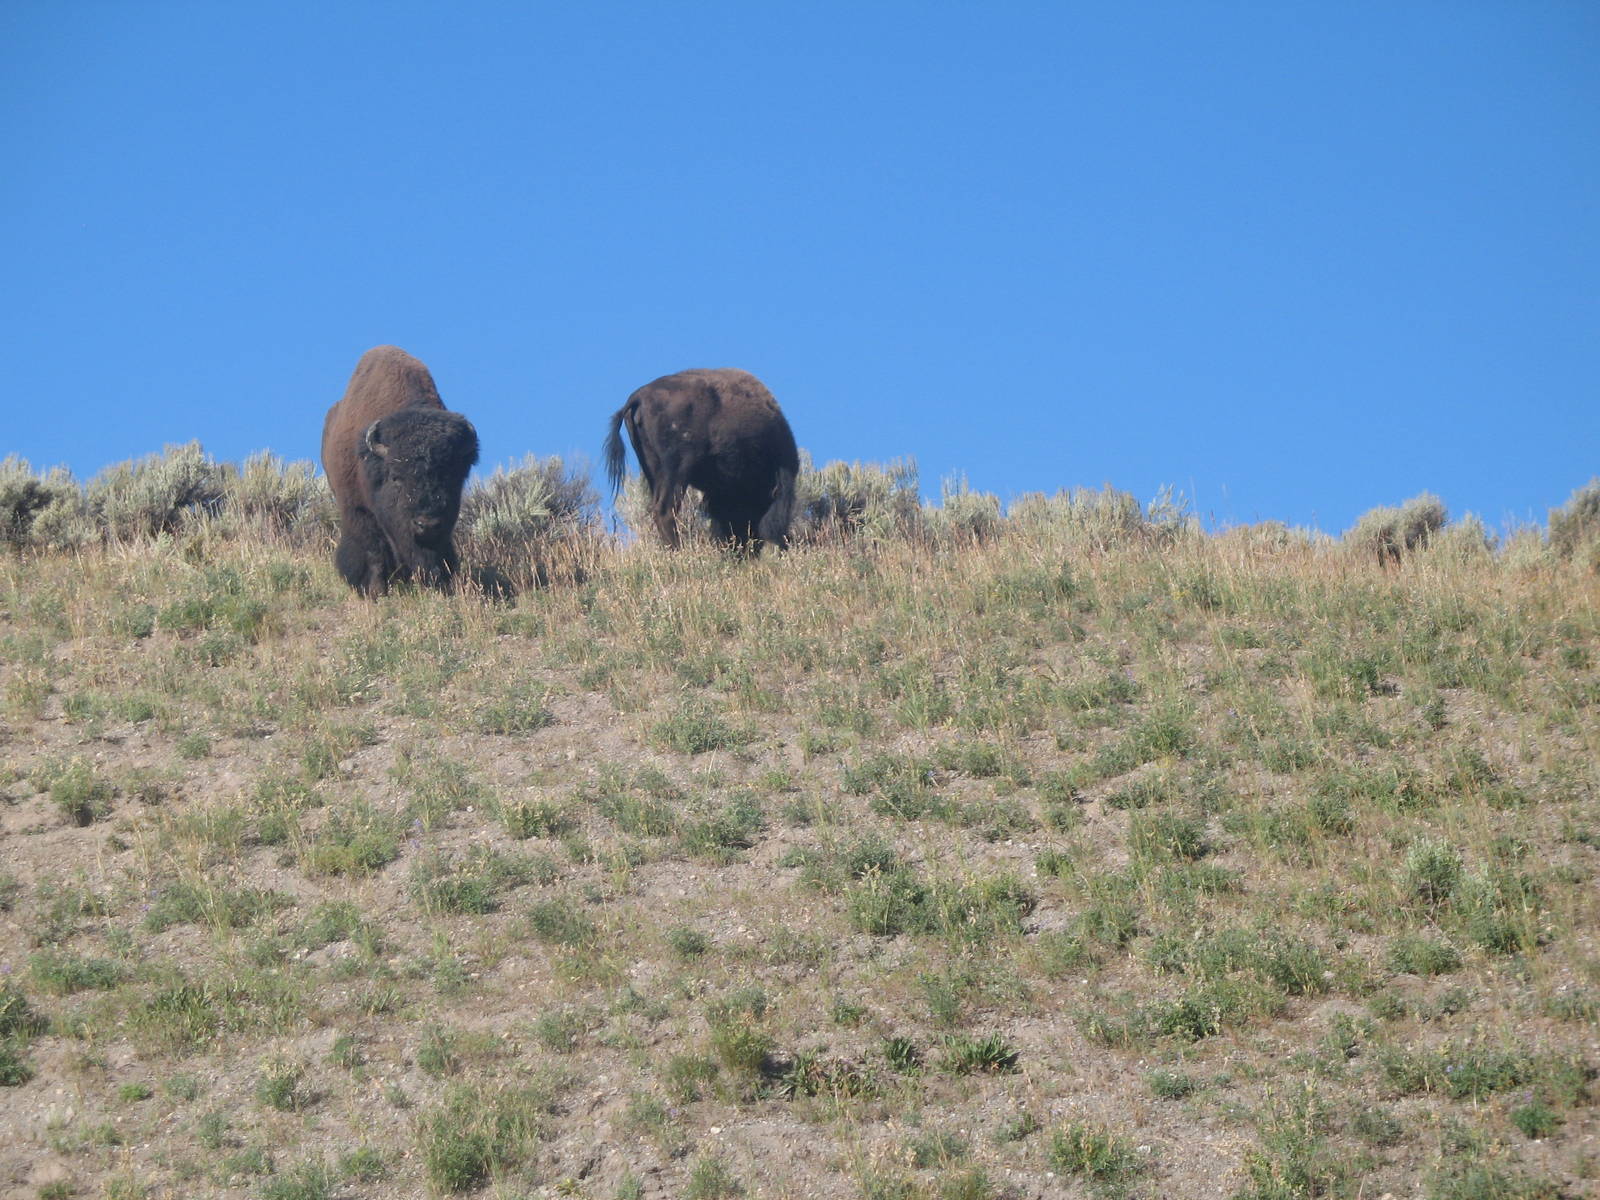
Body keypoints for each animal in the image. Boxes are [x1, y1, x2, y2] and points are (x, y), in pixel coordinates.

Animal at [321, 345, 479, 597]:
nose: (427, 524)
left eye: (452, 478)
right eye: (396, 478)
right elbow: (374, 552)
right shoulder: (359, 511)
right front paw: (376, 592)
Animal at [604, 368, 799, 554]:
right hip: (678, 469)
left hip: (652, 469)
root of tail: (638, 397)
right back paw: (679, 551)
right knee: (665, 510)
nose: (744, 549)